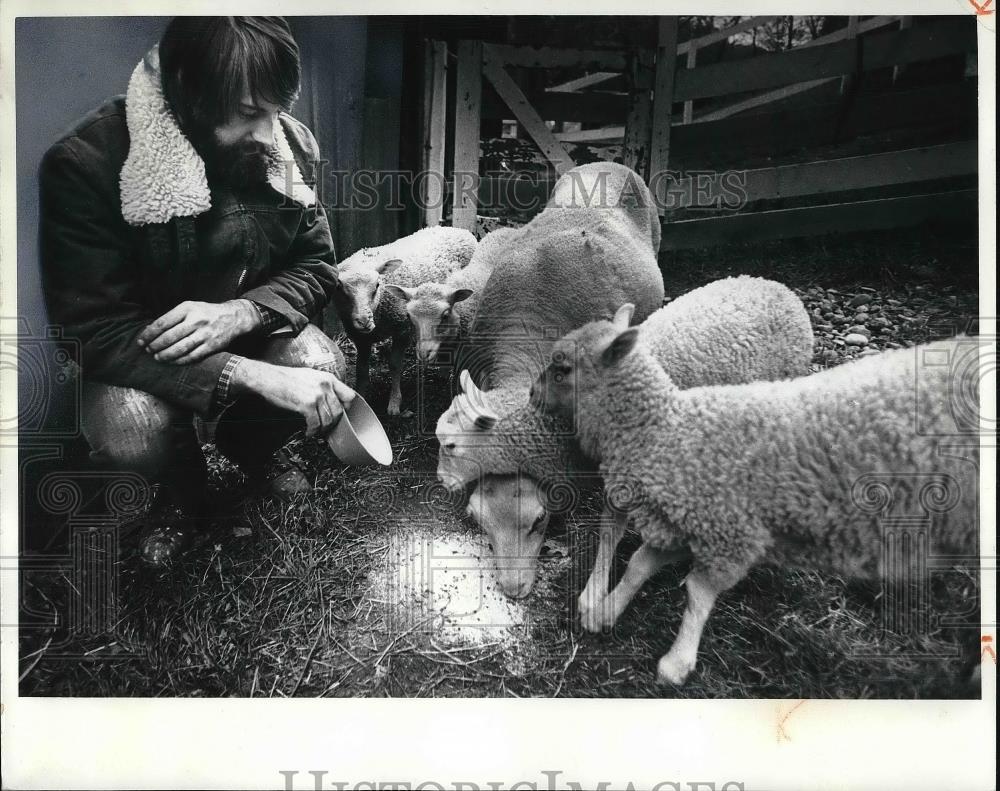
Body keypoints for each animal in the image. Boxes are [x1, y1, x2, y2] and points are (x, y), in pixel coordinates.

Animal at [332, 226, 476, 418]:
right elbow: (361, 370)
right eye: (339, 287)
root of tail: (456, 228)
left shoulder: (402, 330)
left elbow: (395, 365)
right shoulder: (360, 338)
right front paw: (361, 398)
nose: (364, 321)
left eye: (377, 285)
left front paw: (394, 404)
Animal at [532, 310, 976, 688]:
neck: (664, 430)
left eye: (562, 369)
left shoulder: (731, 532)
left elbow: (697, 593)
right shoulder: (687, 520)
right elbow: (639, 563)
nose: (532, 395)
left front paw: (677, 661)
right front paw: (606, 610)